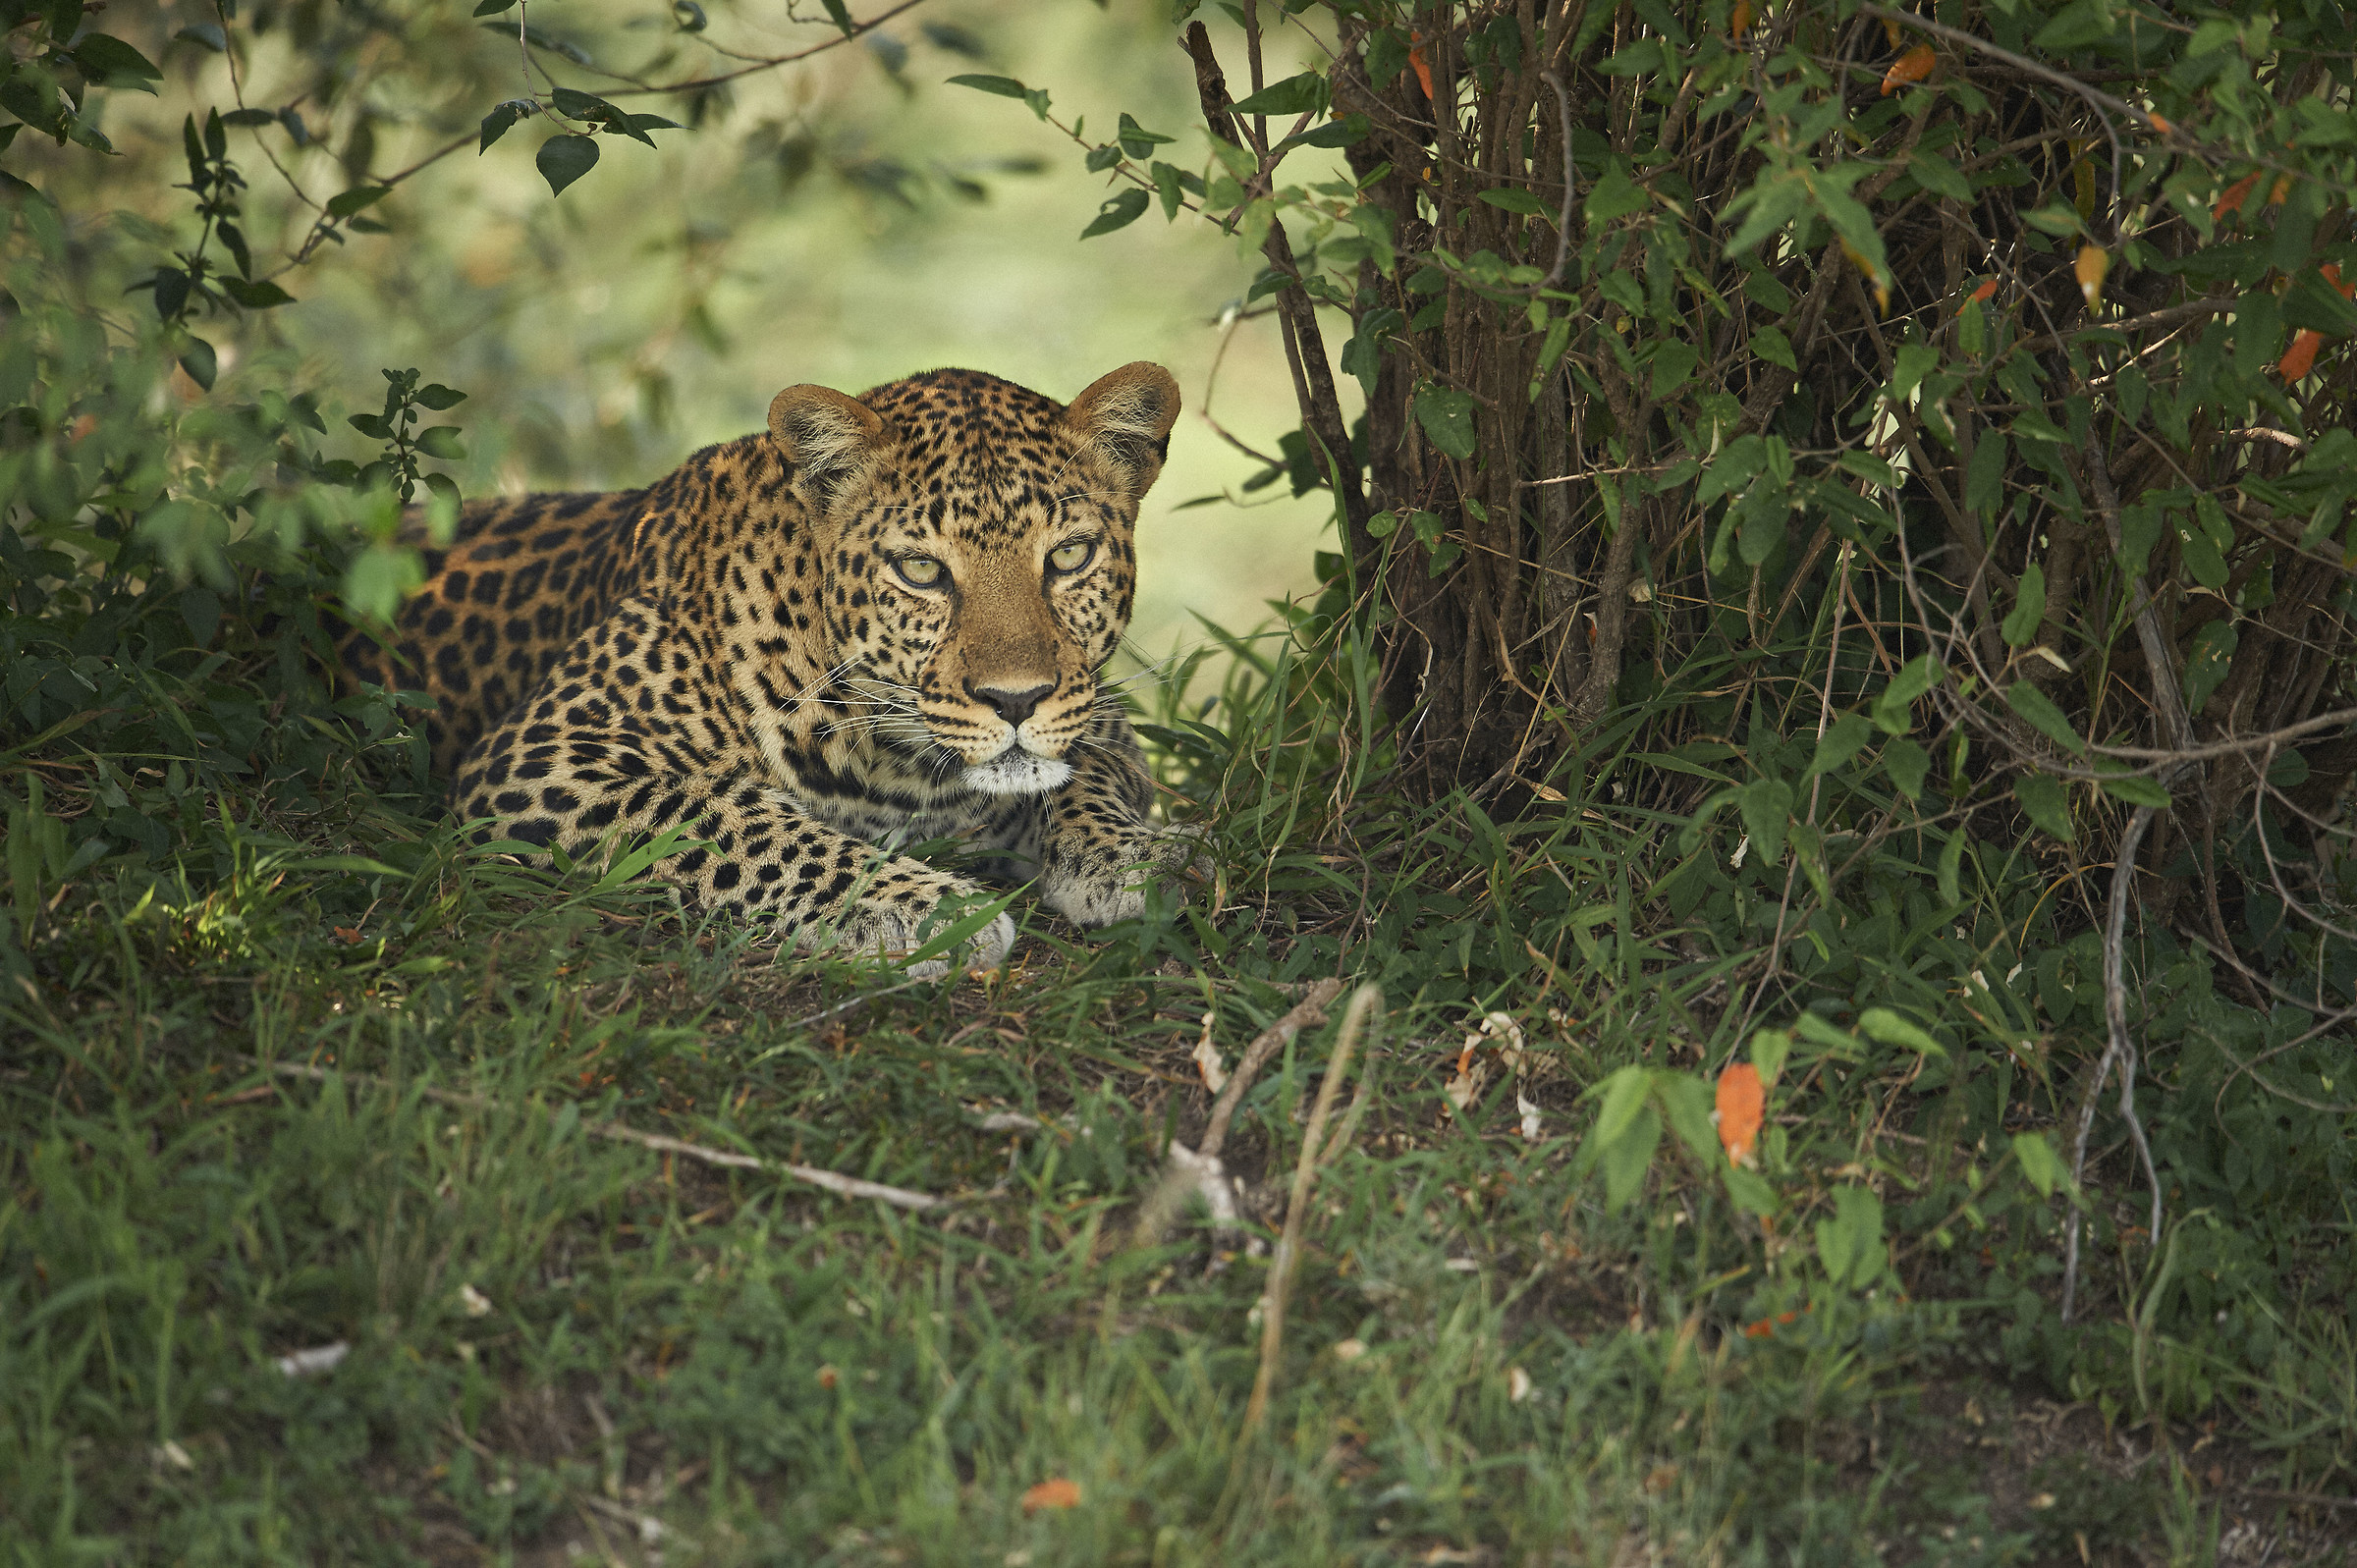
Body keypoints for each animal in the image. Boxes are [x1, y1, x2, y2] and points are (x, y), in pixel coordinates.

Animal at [335, 362, 1202, 971]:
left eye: (1070, 556)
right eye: (922, 570)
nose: (1015, 700)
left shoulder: (1102, 718)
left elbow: (1086, 774)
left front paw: (1129, 855)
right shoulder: (543, 755)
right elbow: (725, 815)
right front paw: (927, 909)